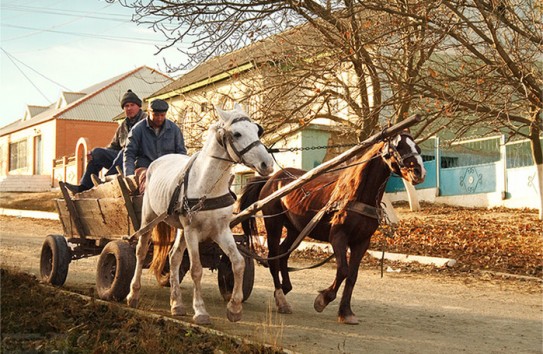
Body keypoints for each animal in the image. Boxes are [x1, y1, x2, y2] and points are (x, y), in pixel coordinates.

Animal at [126, 103, 274, 324]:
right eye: (237, 134)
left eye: (258, 130)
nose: (268, 164)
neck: (208, 186)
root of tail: (159, 160)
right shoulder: (192, 231)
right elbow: (196, 269)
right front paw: (200, 311)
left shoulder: (221, 231)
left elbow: (238, 263)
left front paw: (234, 307)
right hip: (149, 219)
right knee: (141, 251)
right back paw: (133, 293)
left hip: (180, 229)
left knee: (174, 258)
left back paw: (176, 303)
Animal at [240, 131, 428, 324]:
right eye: (398, 146)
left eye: (417, 147)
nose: (419, 172)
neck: (357, 194)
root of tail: (271, 179)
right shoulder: (338, 237)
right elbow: (343, 270)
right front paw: (323, 299)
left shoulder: (362, 242)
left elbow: (352, 276)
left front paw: (345, 312)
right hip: (274, 224)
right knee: (273, 257)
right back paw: (281, 299)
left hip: (295, 229)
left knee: (283, 254)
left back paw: (286, 288)